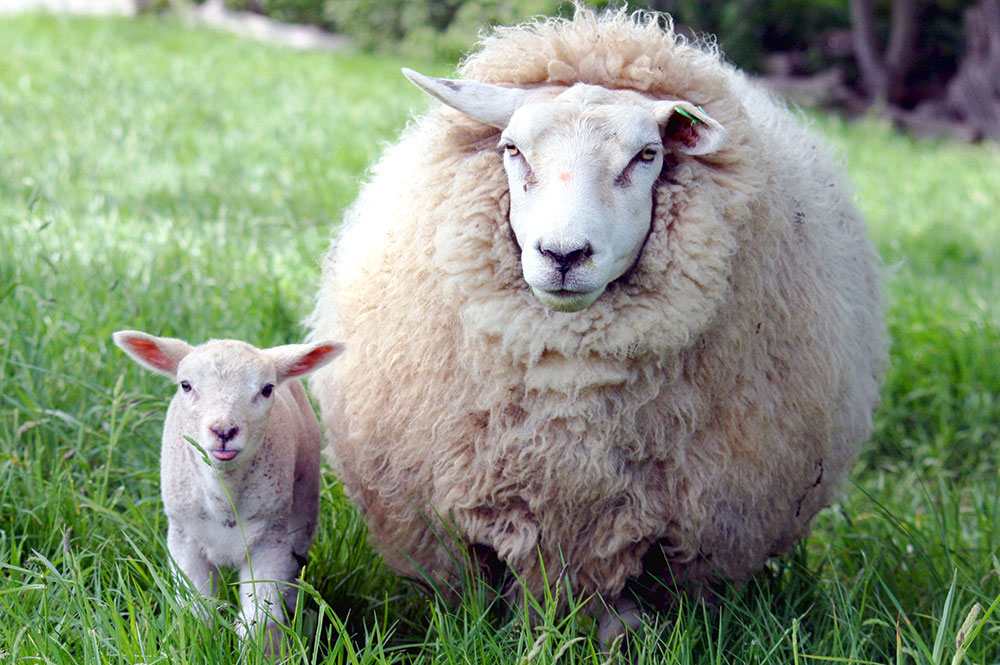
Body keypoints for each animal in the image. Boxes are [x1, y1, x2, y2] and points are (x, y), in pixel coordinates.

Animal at [112, 330, 342, 651]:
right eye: (186, 385)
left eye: (267, 389)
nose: (223, 431)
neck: (224, 496)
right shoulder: (184, 539)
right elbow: (197, 614)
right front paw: (196, 645)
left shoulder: (270, 540)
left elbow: (260, 622)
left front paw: (267, 651)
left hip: (304, 503)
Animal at [306, 7, 887, 640]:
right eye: (512, 148)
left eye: (647, 155)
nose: (563, 255)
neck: (571, 389)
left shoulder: (693, 528)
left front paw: (623, 637)